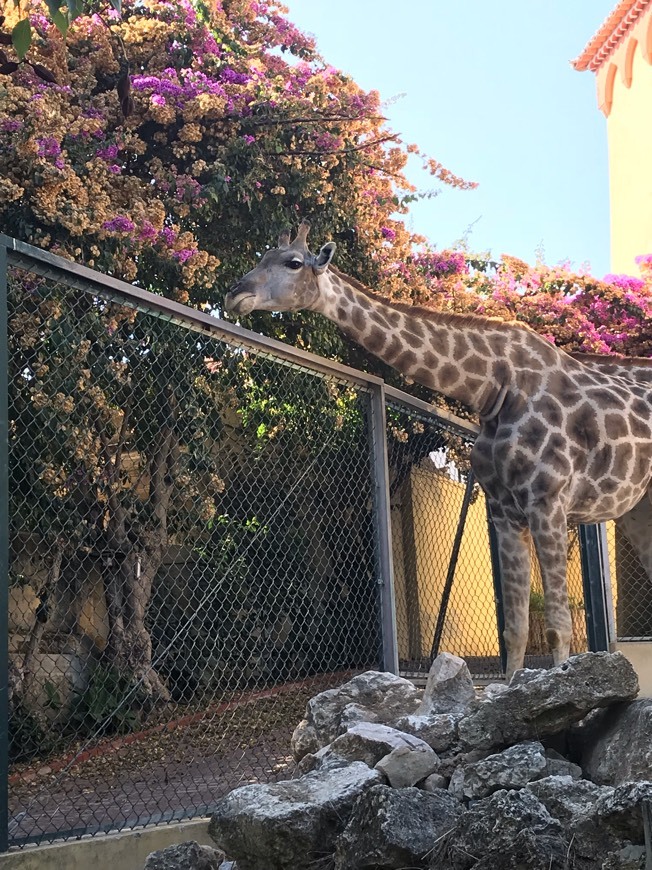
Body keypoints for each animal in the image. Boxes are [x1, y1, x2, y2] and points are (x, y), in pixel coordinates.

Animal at [225, 221, 652, 676]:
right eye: (260, 257)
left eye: (292, 263)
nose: (235, 293)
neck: (493, 387)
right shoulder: (504, 511)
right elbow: (514, 630)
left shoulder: (547, 502)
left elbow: (557, 626)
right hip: (638, 507)